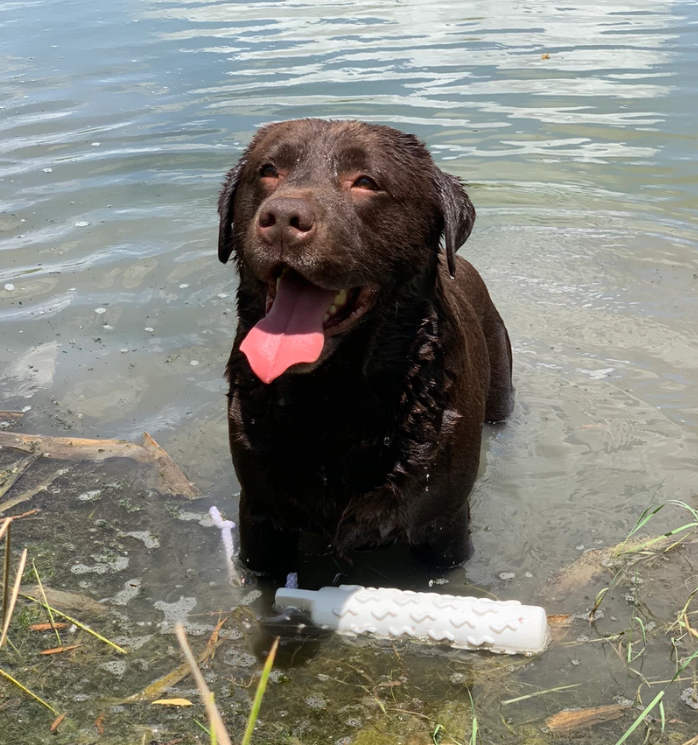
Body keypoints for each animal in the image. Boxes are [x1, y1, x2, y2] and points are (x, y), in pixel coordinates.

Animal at [218, 117, 512, 580]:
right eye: (267, 171)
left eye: (366, 182)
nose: (282, 217)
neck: (333, 400)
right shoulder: (260, 517)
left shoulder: (443, 525)